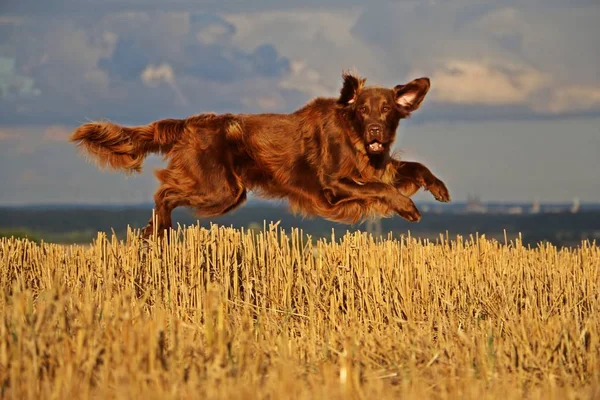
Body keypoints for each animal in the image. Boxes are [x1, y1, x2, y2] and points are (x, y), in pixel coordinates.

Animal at [70, 71, 450, 238]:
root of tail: (191, 123)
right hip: (222, 190)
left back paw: (153, 231)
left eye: (386, 109)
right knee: (164, 193)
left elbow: (413, 166)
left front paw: (439, 187)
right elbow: (381, 188)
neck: (354, 136)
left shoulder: (378, 166)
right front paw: (408, 207)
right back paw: (159, 230)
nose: (375, 131)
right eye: (362, 110)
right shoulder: (333, 185)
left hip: (226, 191)